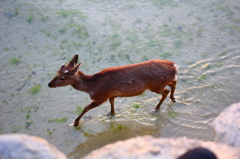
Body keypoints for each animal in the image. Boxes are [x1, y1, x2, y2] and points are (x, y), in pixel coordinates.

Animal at [47, 54, 177, 126]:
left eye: (62, 78)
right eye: (56, 73)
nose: (49, 84)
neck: (91, 86)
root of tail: (174, 66)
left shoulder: (101, 96)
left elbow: (86, 108)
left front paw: (76, 122)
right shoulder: (111, 94)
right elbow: (112, 103)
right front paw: (112, 113)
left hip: (156, 85)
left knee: (166, 91)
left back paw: (156, 108)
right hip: (161, 83)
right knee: (173, 83)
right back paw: (173, 99)